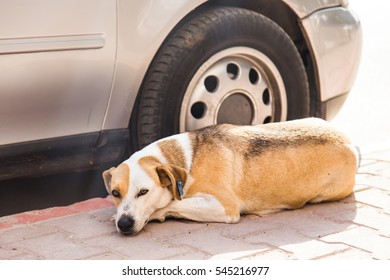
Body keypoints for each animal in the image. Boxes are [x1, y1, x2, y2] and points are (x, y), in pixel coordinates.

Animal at [102, 117, 358, 235]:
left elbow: (173, 204)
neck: (187, 160)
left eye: (143, 192)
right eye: (115, 193)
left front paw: (157, 213)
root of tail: (350, 141)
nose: (124, 224)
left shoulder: (224, 207)